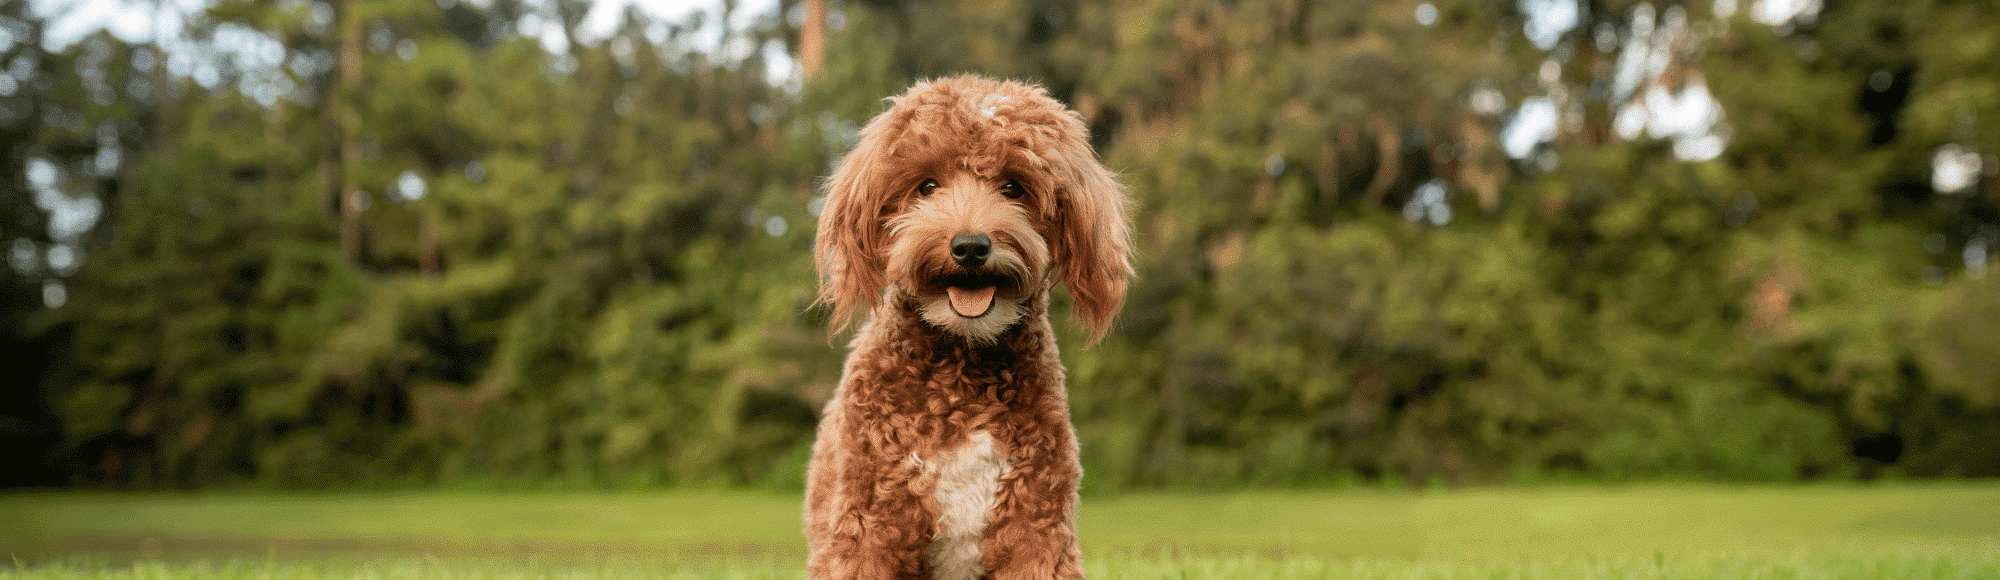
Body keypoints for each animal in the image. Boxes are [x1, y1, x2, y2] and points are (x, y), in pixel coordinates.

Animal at [804, 77, 1136, 580]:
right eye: (927, 185)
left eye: (1013, 187)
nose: (970, 246)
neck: (962, 369)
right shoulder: (867, 527)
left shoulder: (1036, 528)